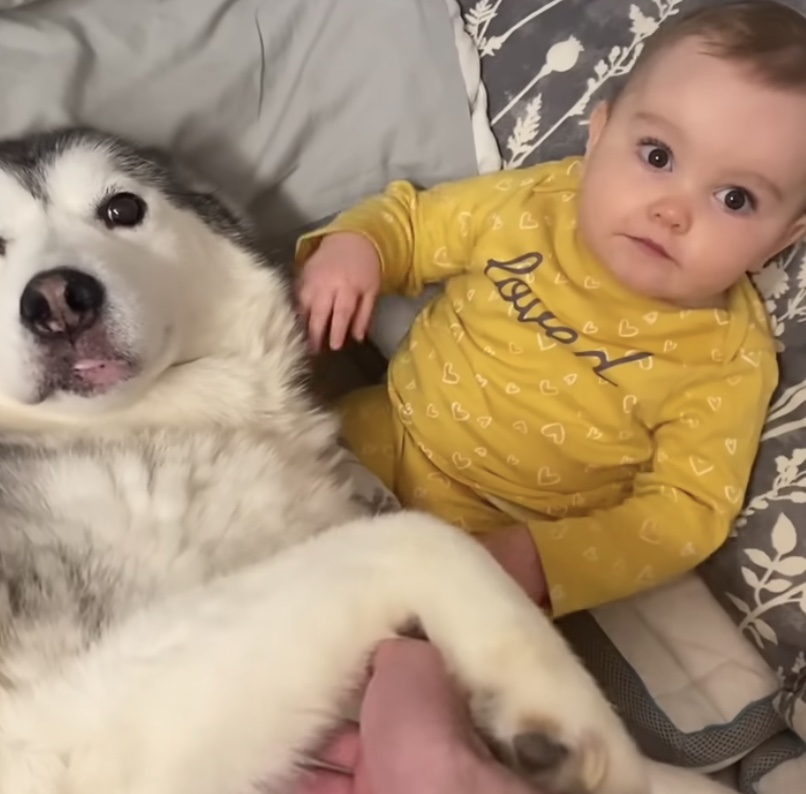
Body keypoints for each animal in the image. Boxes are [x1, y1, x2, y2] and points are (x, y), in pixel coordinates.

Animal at [0, 127, 736, 788]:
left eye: (122, 209)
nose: (57, 301)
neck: (159, 422)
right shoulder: (74, 723)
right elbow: (419, 538)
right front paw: (571, 716)